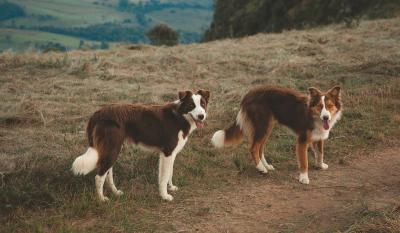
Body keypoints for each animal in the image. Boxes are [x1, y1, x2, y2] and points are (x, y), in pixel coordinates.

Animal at [72, 90, 209, 201]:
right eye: (191, 105)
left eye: (202, 104)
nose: (201, 116)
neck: (180, 116)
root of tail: (98, 113)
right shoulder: (168, 152)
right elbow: (164, 176)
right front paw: (164, 196)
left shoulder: (170, 154)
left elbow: (169, 173)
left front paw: (170, 187)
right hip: (112, 149)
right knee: (99, 177)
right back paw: (101, 199)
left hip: (112, 149)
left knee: (108, 173)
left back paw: (115, 192)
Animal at [211, 85, 342, 184]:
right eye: (320, 106)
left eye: (330, 106)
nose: (326, 117)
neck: (313, 115)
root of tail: (248, 94)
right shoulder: (302, 140)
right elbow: (304, 161)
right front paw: (304, 178)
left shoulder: (319, 136)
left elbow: (320, 153)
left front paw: (320, 166)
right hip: (263, 126)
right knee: (254, 148)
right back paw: (261, 168)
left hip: (267, 127)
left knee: (260, 148)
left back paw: (266, 166)